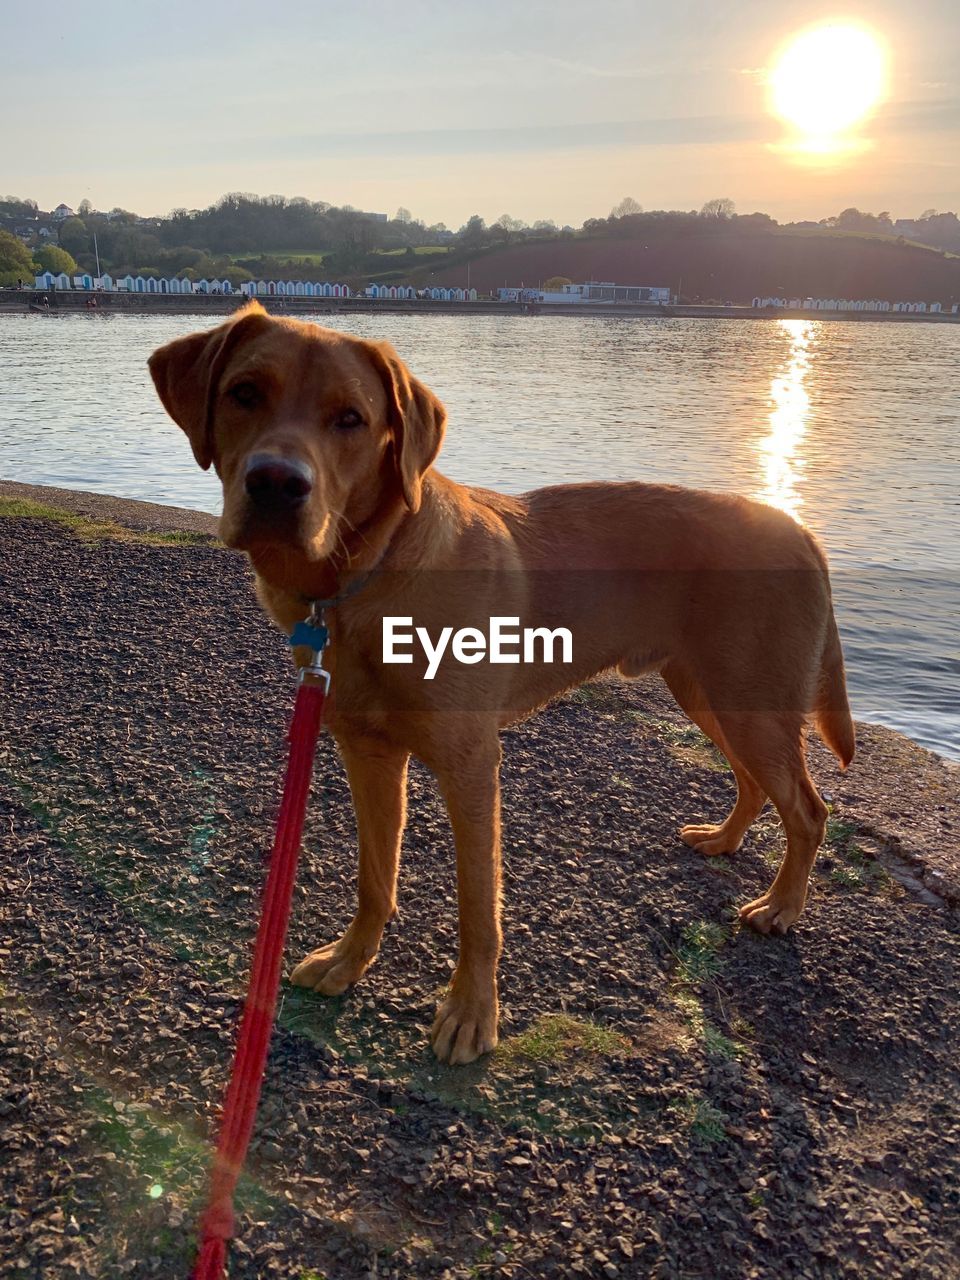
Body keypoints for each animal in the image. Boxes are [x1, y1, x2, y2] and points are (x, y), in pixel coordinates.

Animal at [148, 304, 855, 1064]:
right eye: (244, 393)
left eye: (350, 419)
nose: (278, 483)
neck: (359, 581)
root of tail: (800, 530)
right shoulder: (367, 752)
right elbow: (375, 878)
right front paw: (351, 959)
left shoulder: (471, 765)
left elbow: (477, 909)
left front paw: (470, 1013)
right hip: (709, 694)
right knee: (756, 783)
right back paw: (724, 840)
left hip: (748, 703)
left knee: (808, 810)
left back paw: (781, 906)